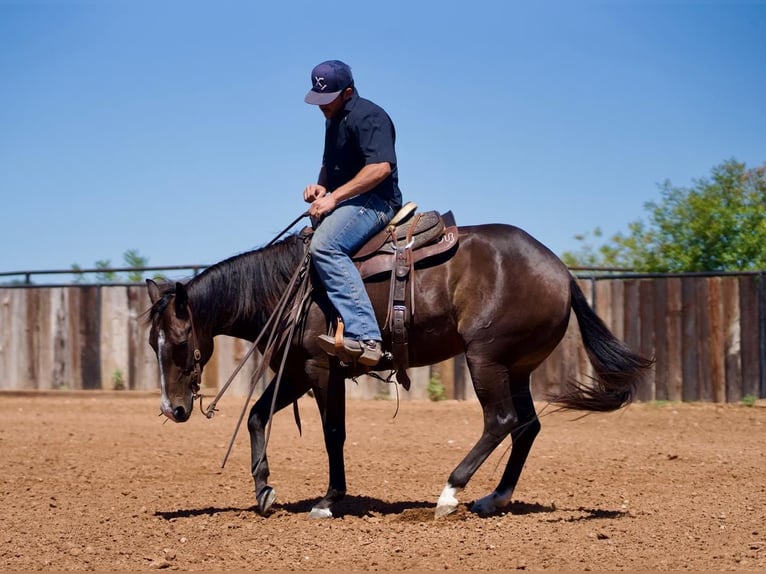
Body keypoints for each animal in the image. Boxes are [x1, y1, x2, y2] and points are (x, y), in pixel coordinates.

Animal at [146, 223, 656, 520]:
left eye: (179, 343)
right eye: (152, 343)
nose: (172, 410)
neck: (286, 289)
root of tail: (562, 272)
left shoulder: (319, 369)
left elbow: (333, 432)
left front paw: (329, 500)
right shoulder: (296, 372)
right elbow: (256, 417)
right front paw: (264, 490)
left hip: (486, 359)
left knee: (501, 421)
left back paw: (450, 493)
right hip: (517, 367)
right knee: (527, 426)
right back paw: (493, 499)